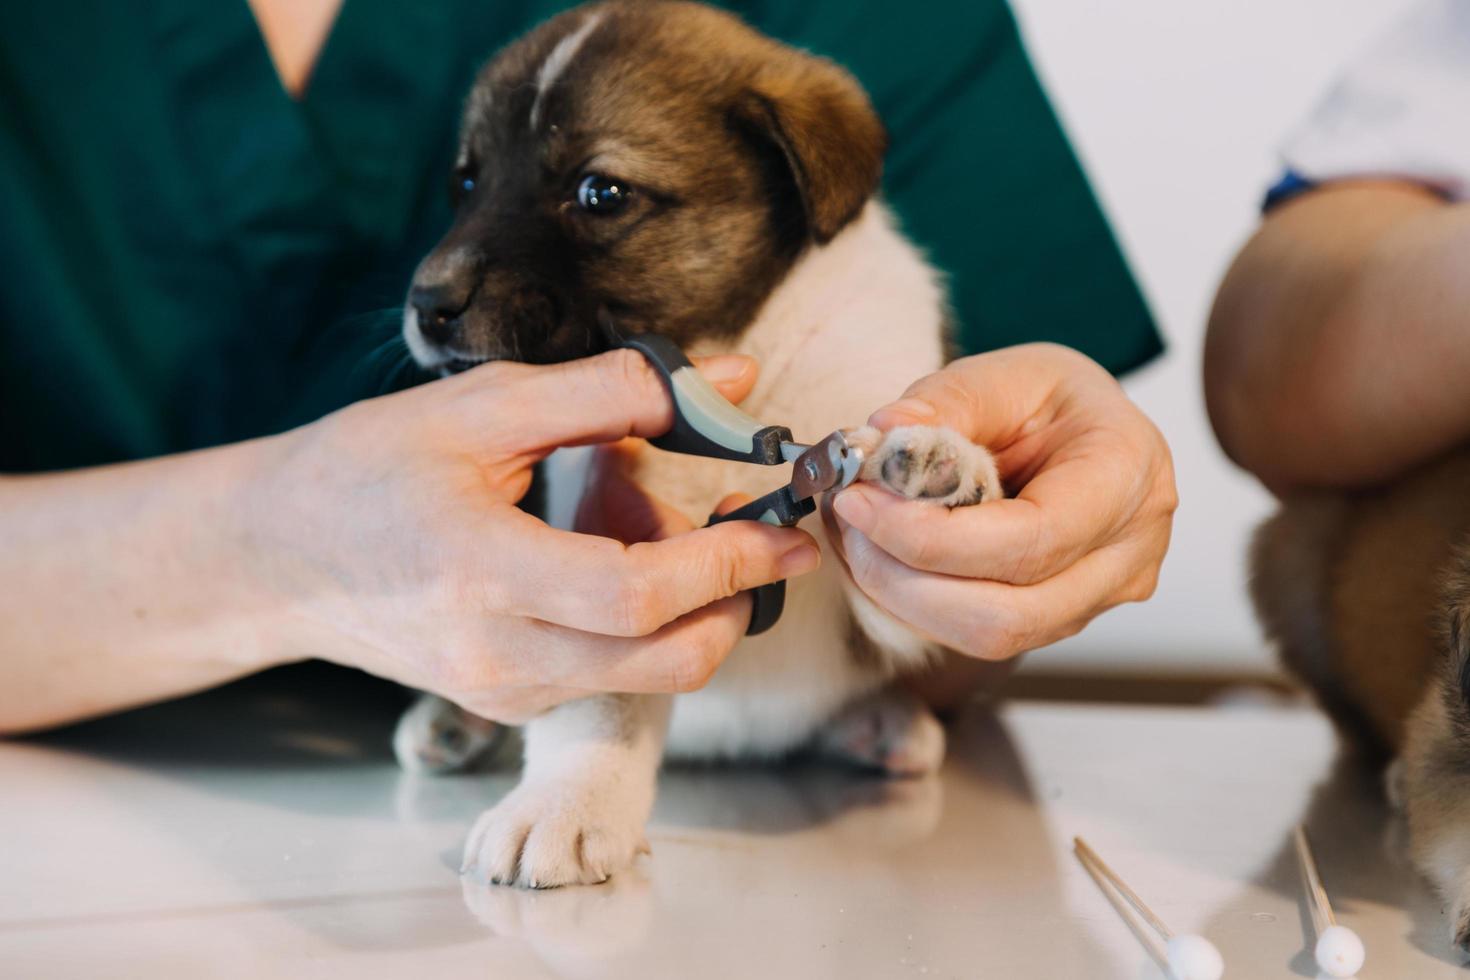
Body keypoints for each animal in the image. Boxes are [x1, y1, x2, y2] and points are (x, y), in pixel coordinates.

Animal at [396, 0, 1005, 887]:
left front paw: (929, 464)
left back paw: (882, 723)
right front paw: (565, 802)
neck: (751, 354)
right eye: (467, 181)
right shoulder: (603, 558)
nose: (427, 305)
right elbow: (597, 701)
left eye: (601, 192)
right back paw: (454, 723)